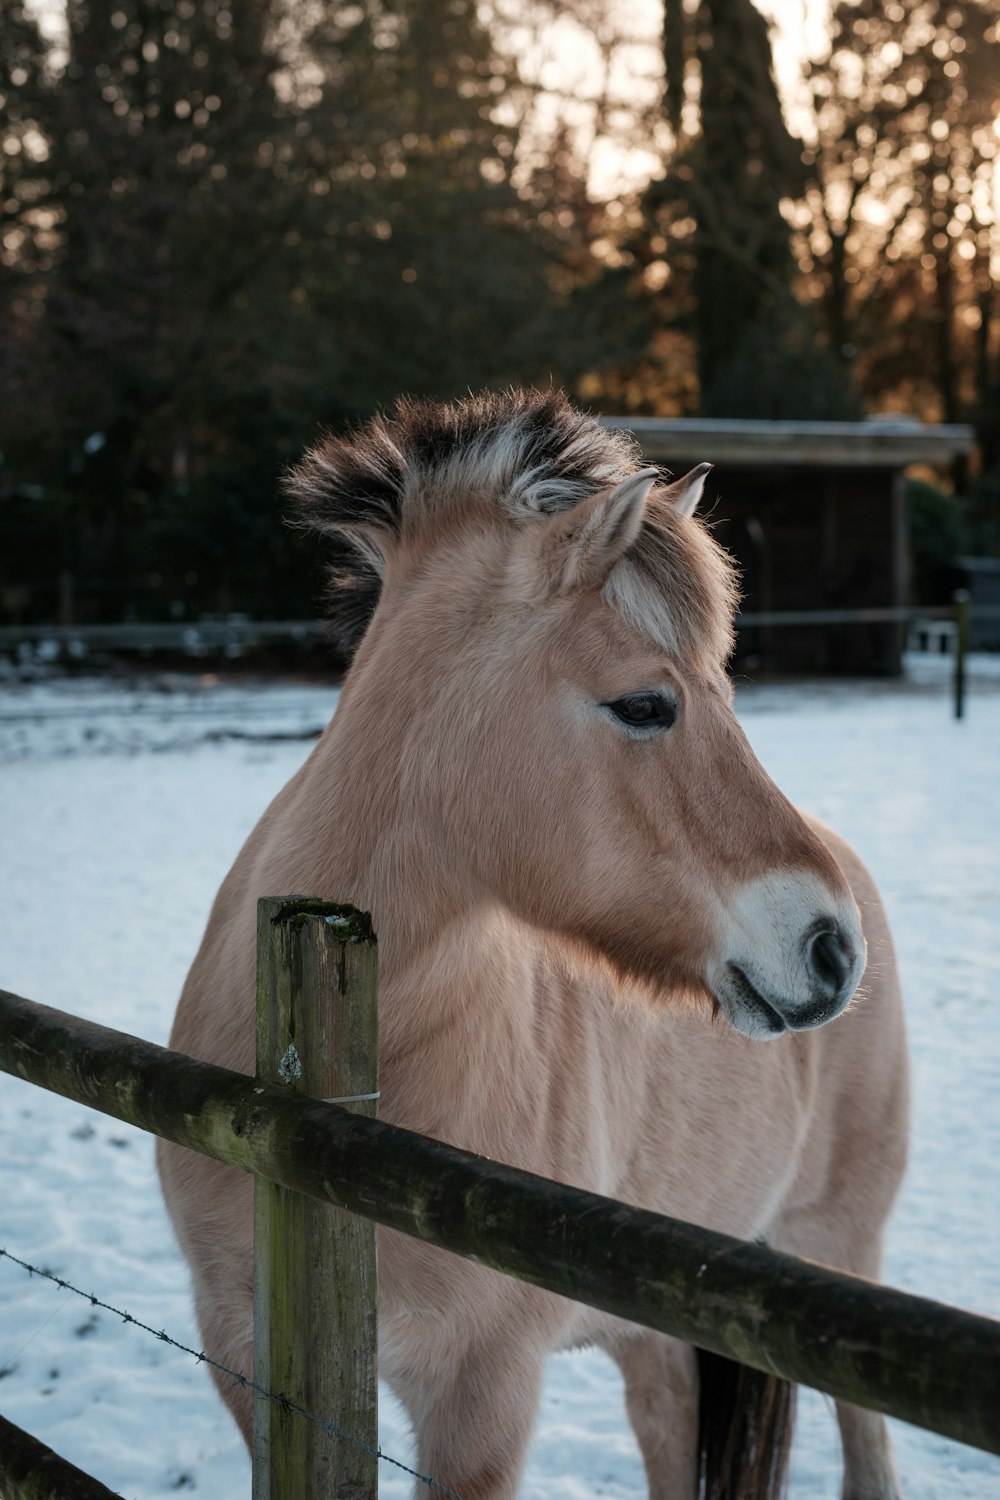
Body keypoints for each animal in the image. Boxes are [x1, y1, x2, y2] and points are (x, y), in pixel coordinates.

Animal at [154, 390, 905, 1500]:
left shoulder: (482, 1398)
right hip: (658, 1327)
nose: (830, 947)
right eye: (646, 703)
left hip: (838, 1252)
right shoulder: (245, 1364)